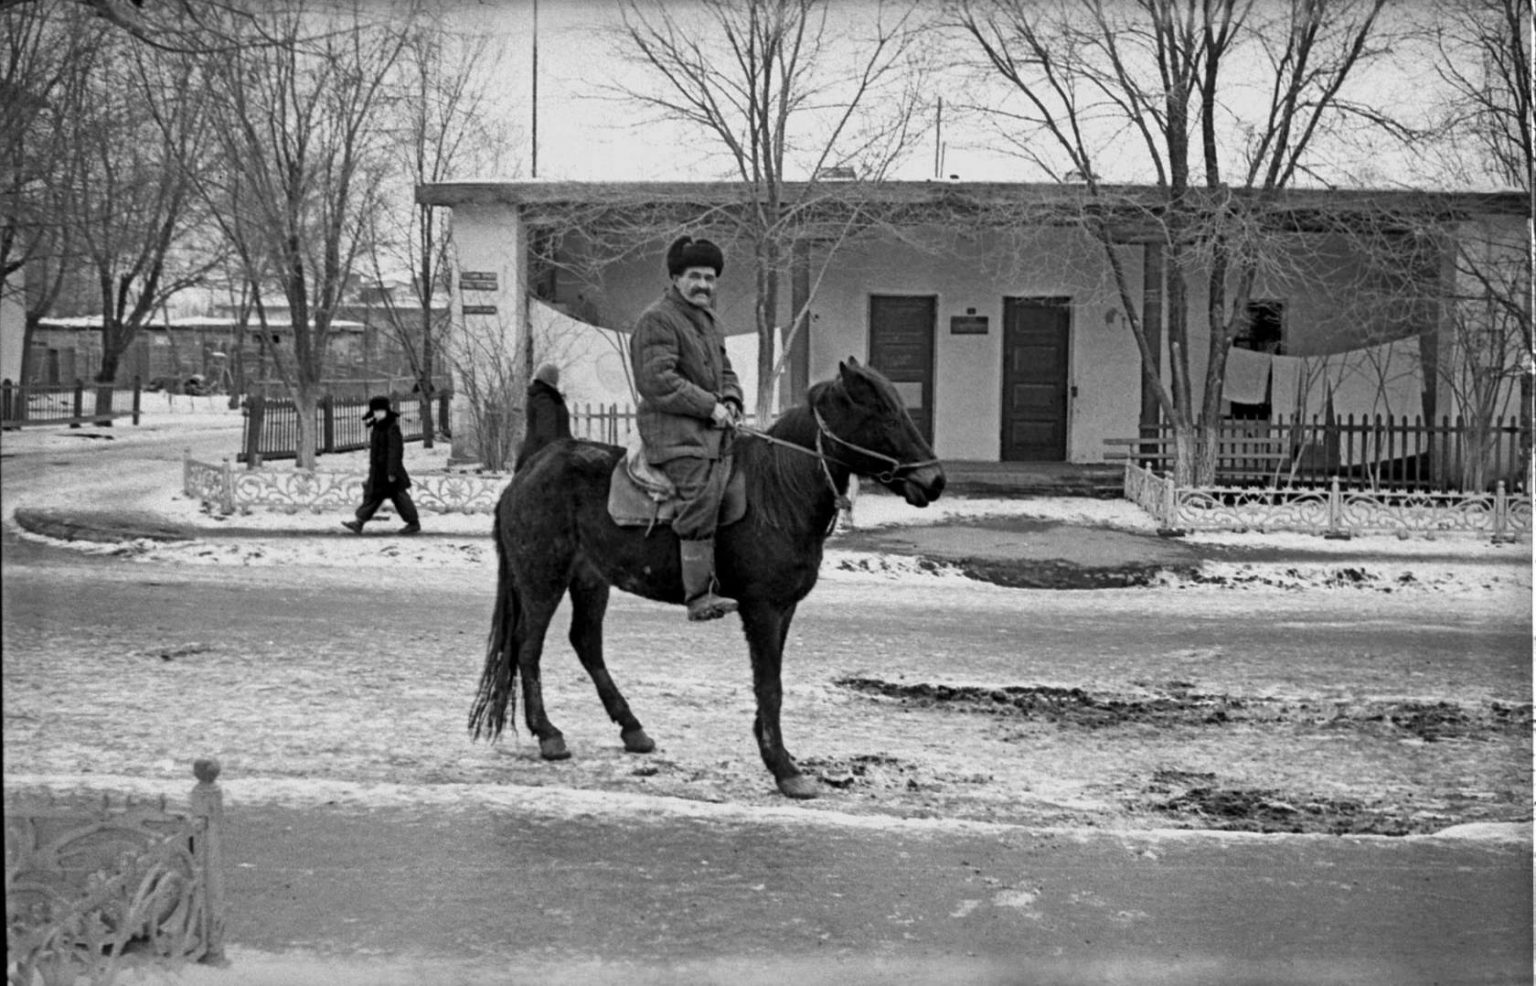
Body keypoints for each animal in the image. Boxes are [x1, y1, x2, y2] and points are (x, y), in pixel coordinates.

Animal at [463, 356, 946, 792]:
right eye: (882, 413)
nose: (935, 481)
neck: (778, 495)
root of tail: (534, 465)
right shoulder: (763, 609)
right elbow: (770, 686)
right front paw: (784, 769)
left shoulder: (783, 610)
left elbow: (770, 683)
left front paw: (776, 754)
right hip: (542, 580)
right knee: (528, 648)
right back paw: (548, 734)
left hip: (590, 580)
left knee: (585, 643)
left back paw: (632, 728)